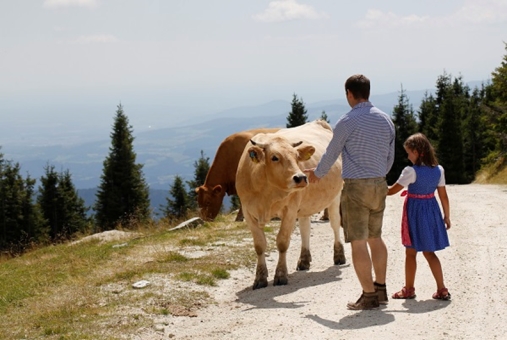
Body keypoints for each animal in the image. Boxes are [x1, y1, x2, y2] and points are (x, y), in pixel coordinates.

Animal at [237, 120, 348, 290]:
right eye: (274, 157)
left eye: (296, 157)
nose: (301, 177)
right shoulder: (248, 212)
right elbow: (259, 245)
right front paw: (260, 278)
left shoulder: (289, 210)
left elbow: (282, 242)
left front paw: (281, 275)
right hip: (305, 206)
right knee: (305, 228)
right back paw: (304, 260)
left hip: (335, 196)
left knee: (335, 224)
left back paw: (339, 255)